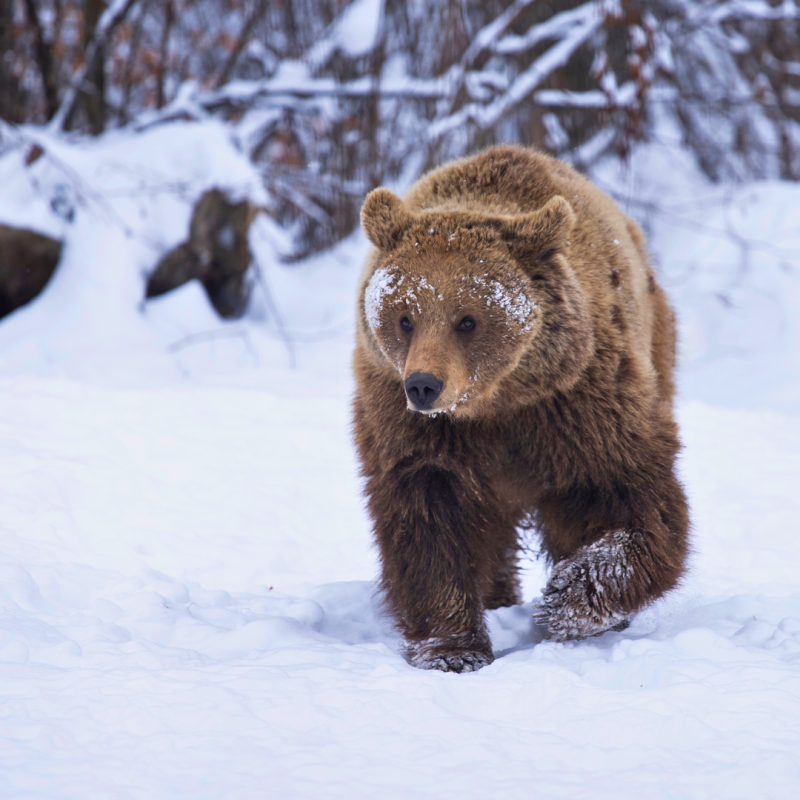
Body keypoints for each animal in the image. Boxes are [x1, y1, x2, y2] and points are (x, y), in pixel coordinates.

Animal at [354, 142, 692, 668]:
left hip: (655, 339)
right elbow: (426, 519)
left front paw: (567, 601)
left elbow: (636, 501)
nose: (424, 386)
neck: (498, 402)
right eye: (405, 317)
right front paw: (452, 648)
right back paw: (497, 595)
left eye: (467, 319)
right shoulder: (412, 425)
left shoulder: (579, 406)